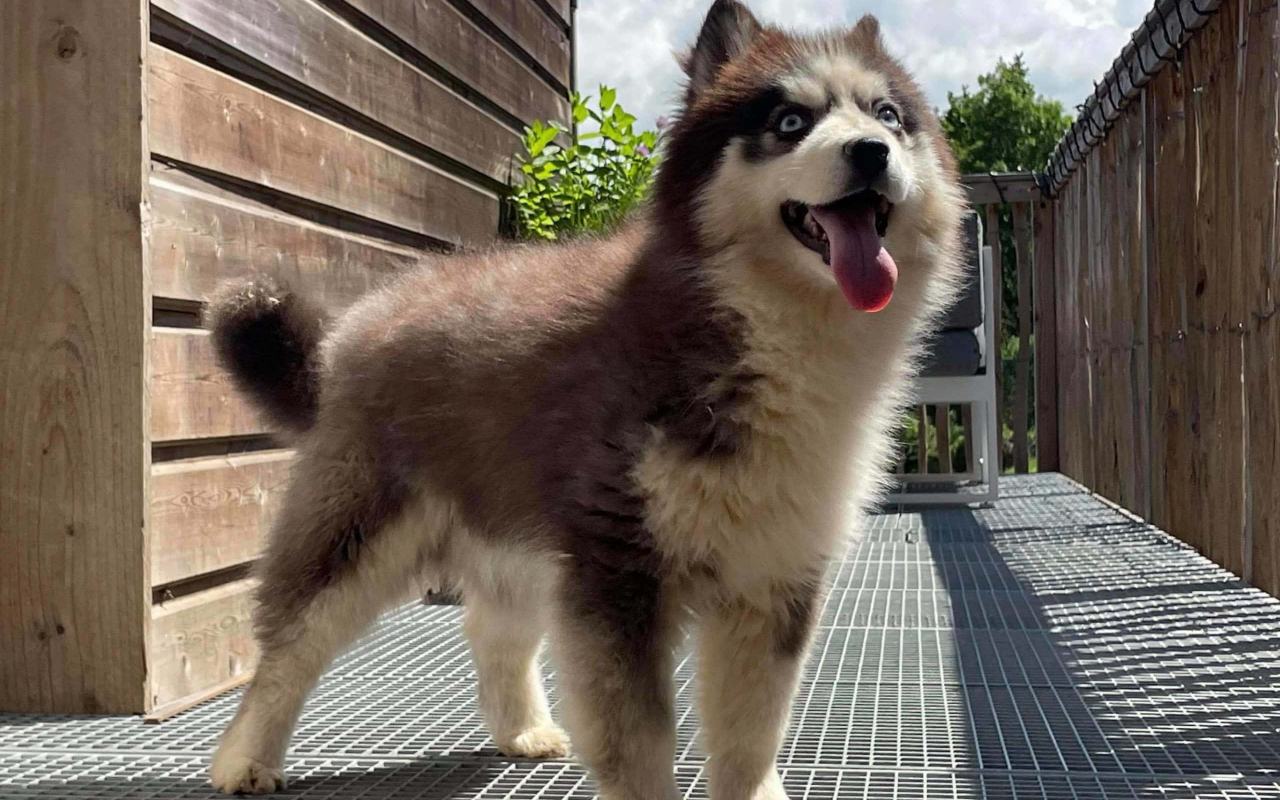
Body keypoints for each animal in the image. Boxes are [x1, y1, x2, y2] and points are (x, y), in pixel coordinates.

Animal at [204, 3, 962, 793]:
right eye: (789, 121)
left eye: (887, 115)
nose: (872, 151)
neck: (762, 334)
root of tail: (353, 326)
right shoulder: (618, 573)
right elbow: (641, 741)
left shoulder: (773, 573)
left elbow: (751, 736)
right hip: (355, 537)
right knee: (288, 644)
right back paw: (245, 757)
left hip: (517, 539)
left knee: (494, 630)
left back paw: (521, 729)